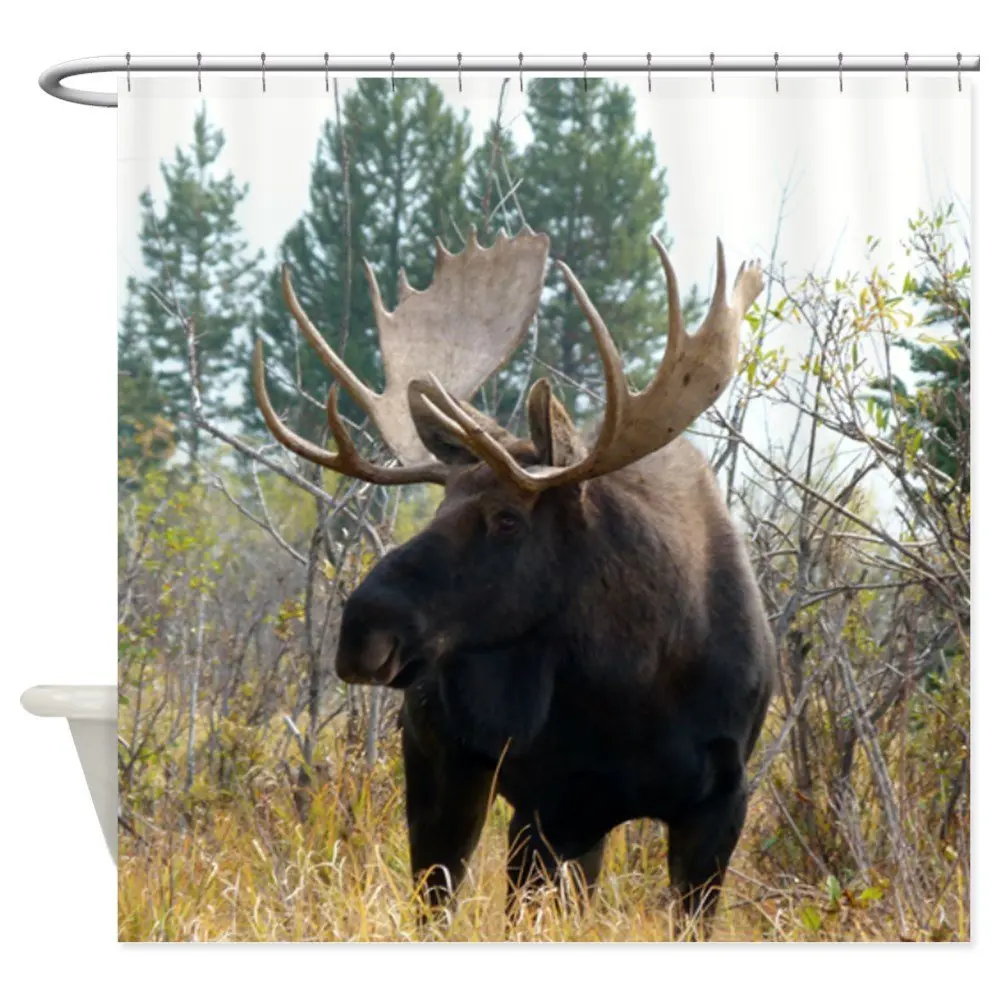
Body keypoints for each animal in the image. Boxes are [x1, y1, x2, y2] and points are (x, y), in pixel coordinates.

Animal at [252, 225, 774, 933]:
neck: (637, 679)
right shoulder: (546, 803)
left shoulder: (719, 799)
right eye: (440, 506)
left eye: (506, 518)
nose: (362, 631)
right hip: (440, 767)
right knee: (434, 901)